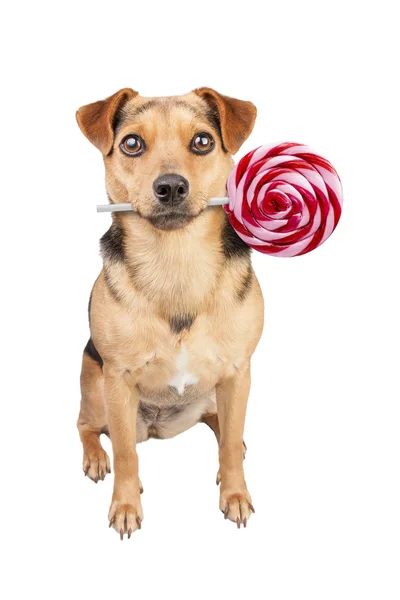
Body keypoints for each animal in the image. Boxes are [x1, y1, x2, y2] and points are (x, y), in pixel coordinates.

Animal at [76, 88, 264, 540]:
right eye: (131, 143)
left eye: (202, 141)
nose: (172, 186)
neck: (176, 260)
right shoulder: (117, 379)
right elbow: (126, 454)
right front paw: (126, 506)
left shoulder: (238, 372)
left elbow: (231, 439)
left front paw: (235, 494)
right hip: (95, 387)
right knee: (88, 427)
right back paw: (96, 457)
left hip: (215, 394)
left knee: (223, 426)